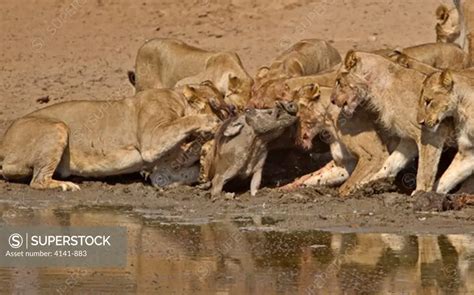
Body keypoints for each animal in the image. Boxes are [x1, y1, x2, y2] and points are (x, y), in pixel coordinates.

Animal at [0, 82, 230, 192]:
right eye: (219, 106)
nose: (232, 112)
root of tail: (3, 142)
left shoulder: (164, 169)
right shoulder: (153, 139)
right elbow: (185, 122)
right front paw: (209, 123)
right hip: (58, 127)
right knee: (38, 180)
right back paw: (65, 185)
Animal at [330, 51, 452, 194]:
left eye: (338, 81)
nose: (332, 100)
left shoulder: (431, 133)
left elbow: (425, 169)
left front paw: (420, 193)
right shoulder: (409, 138)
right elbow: (391, 162)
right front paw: (369, 185)